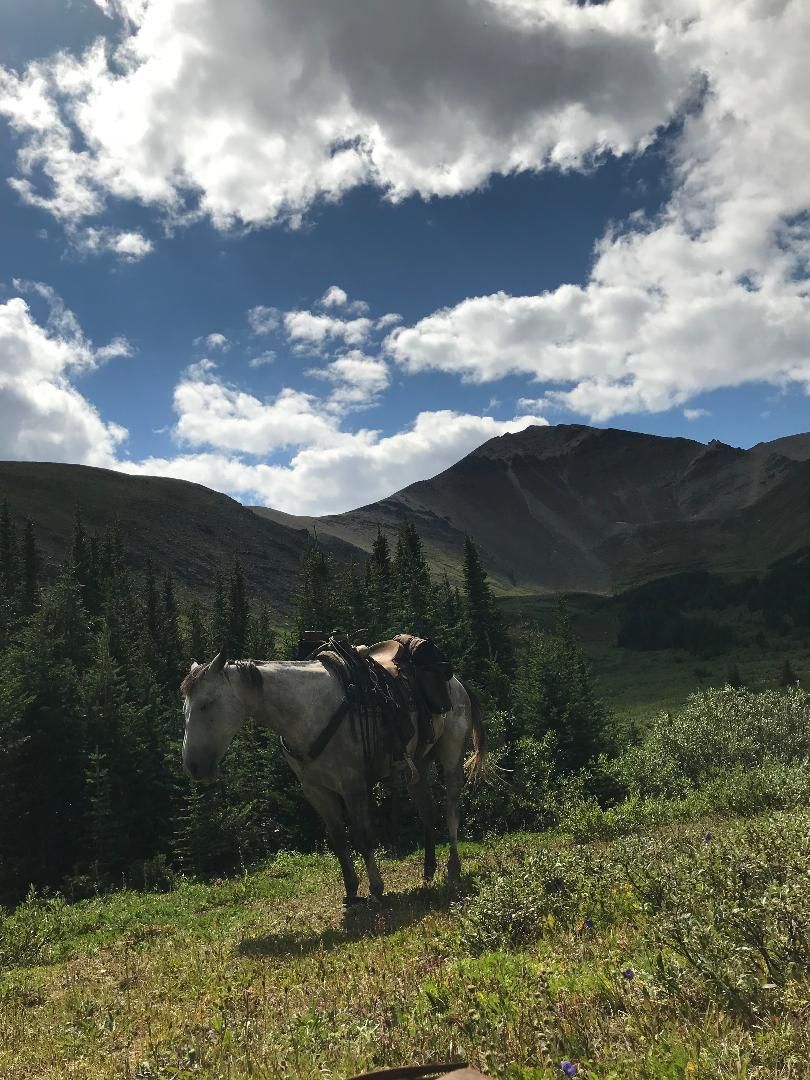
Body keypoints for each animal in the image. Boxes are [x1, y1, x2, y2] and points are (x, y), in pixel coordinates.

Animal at [181, 652, 488, 898]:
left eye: (206, 704)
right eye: (184, 708)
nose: (193, 767)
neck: (305, 711)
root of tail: (457, 682)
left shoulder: (353, 784)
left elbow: (363, 836)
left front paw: (376, 889)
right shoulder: (314, 790)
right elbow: (338, 839)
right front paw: (351, 891)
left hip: (451, 757)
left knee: (451, 810)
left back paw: (453, 868)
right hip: (418, 766)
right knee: (427, 811)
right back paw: (428, 869)